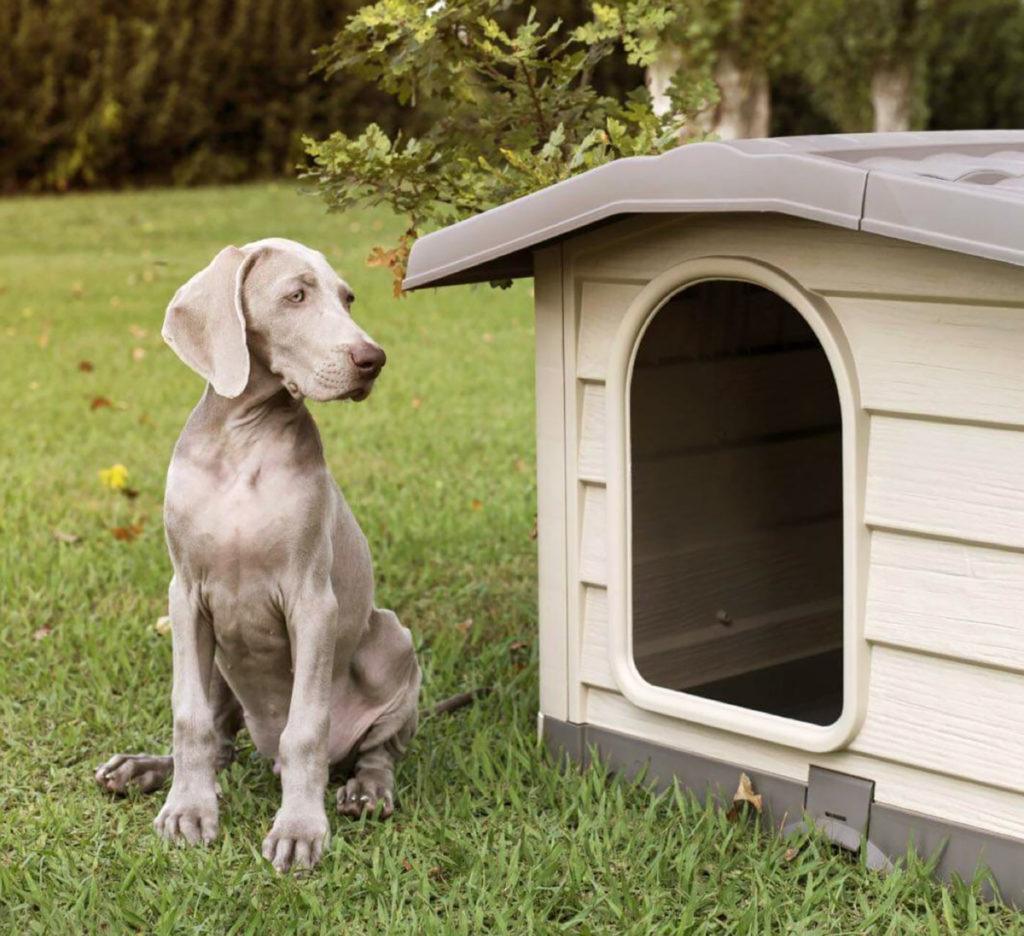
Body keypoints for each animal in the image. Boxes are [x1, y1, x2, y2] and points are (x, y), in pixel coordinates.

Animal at [93, 237, 419, 872]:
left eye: (347, 298)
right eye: (295, 296)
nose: (373, 359)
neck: (243, 439)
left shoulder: (313, 602)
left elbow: (306, 731)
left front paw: (299, 827)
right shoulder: (185, 596)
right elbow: (189, 717)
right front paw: (187, 809)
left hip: (393, 639)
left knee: (375, 750)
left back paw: (367, 789)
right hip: (219, 659)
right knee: (222, 741)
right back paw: (145, 769)